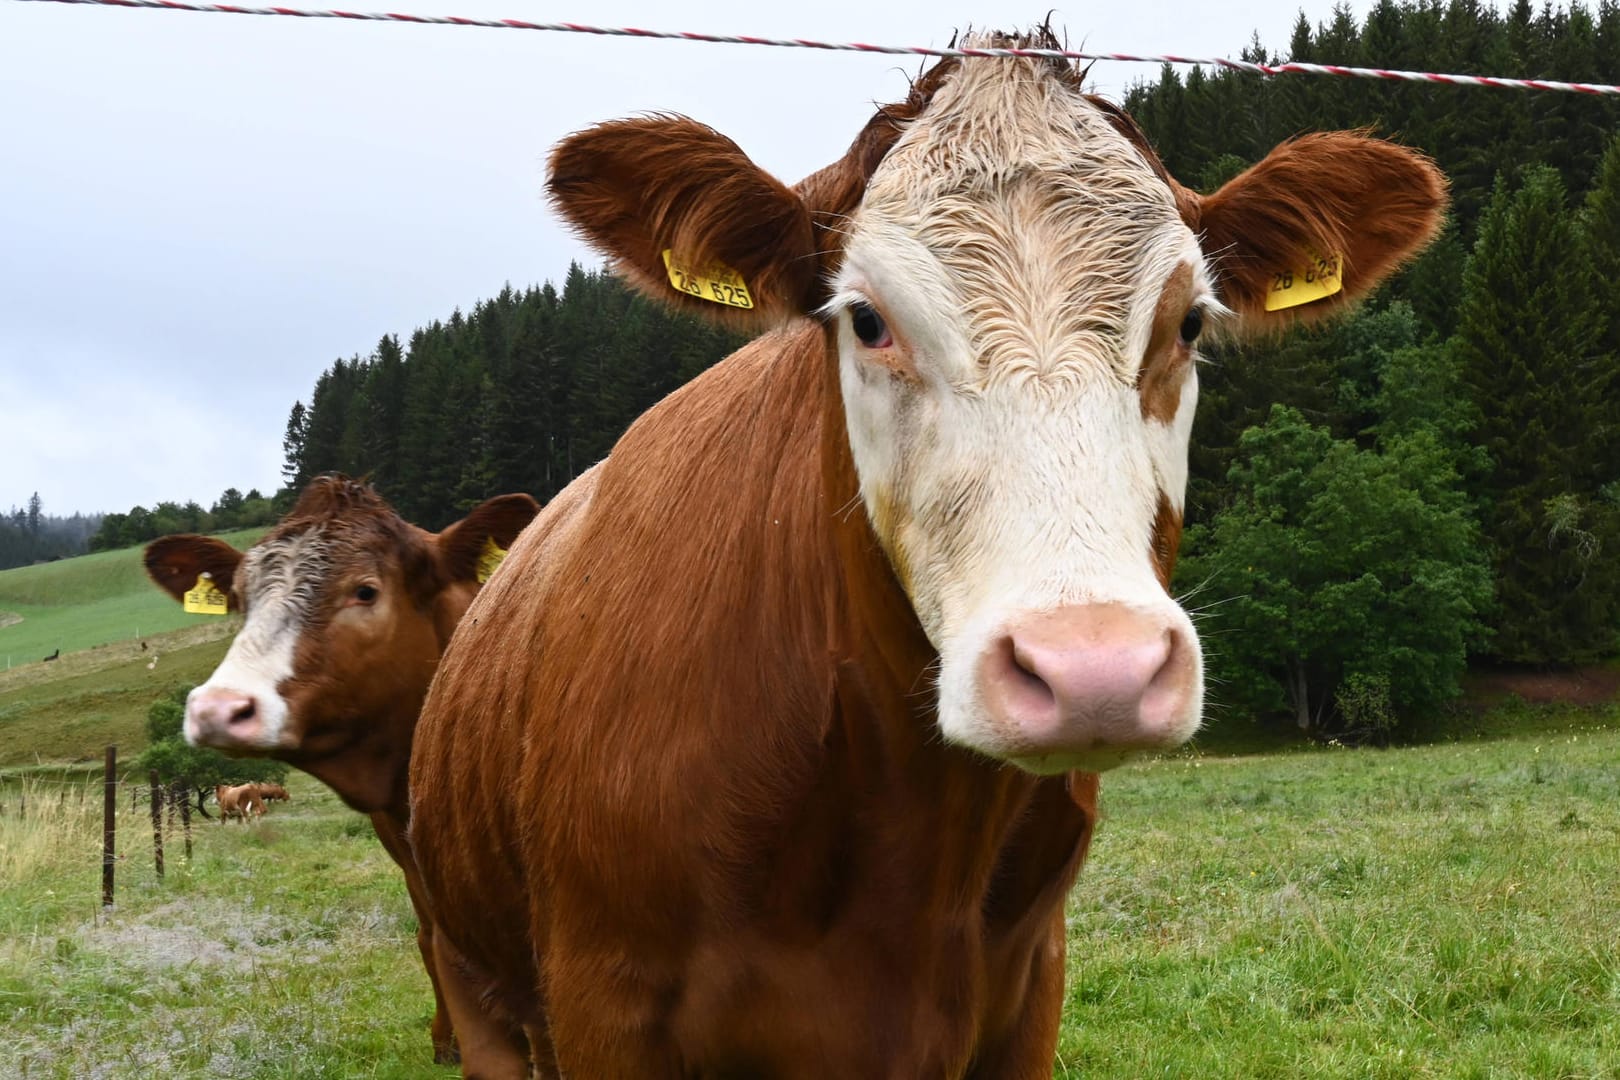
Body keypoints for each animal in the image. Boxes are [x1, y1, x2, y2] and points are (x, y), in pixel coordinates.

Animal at [405, 27, 1445, 1080]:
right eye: (866, 319)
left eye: (1189, 321)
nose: (1095, 672)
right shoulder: (605, 1003)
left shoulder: (1029, 988)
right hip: (471, 971)